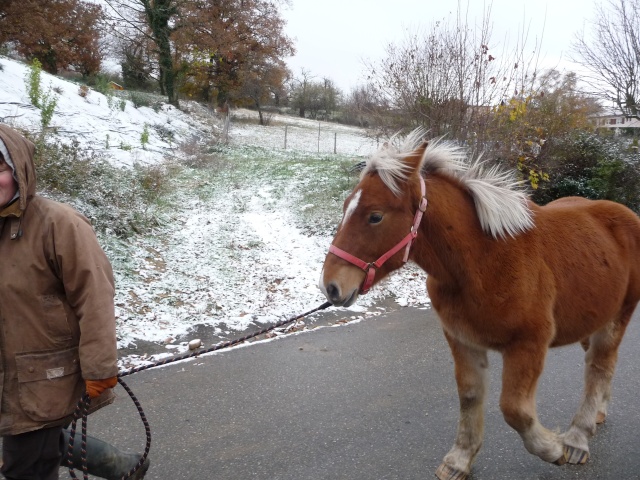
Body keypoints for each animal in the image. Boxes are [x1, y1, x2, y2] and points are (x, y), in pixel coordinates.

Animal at [318, 128, 640, 480]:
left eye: (375, 216)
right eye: (346, 207)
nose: (331, 286)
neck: (484, 262)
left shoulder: (529, 344)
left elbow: (515, 410)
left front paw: (553, 449)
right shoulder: (463, 341)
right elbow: (470, 397)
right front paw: (460, 459)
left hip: (616, 319)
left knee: (599, 366)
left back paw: (577, 439)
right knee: (601, 365)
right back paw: (597, 414)